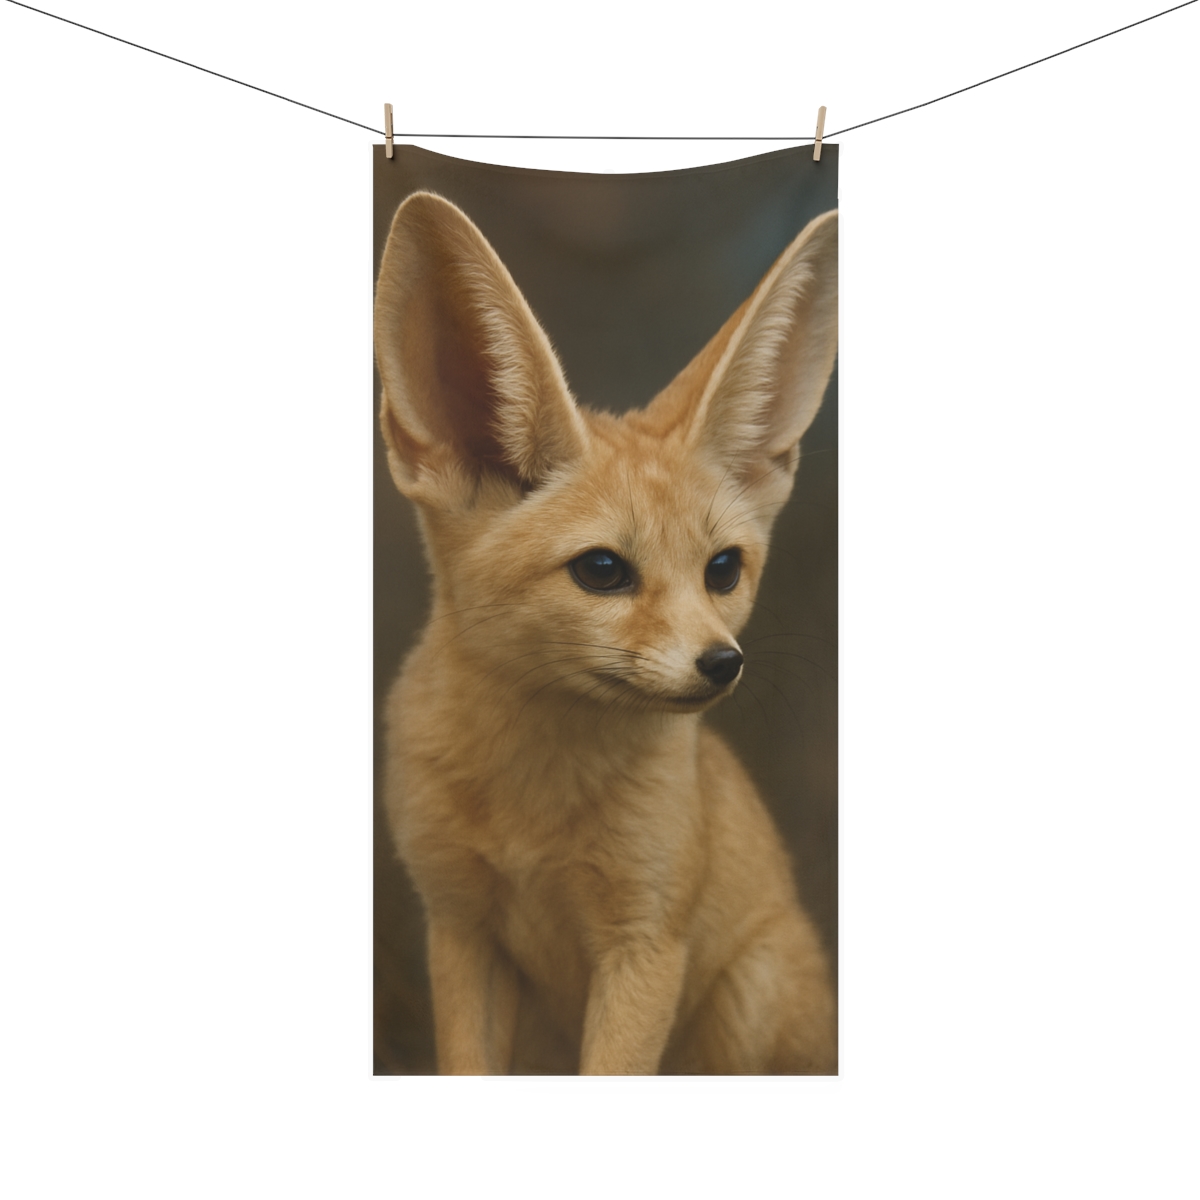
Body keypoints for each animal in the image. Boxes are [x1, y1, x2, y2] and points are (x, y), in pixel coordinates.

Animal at [374, 191, 839, 1074]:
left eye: (722, 569)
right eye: (602, 571)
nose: (723, 663)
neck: (532, 807)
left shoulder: (646, 940)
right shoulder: (460, 925)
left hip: (745, 1000)